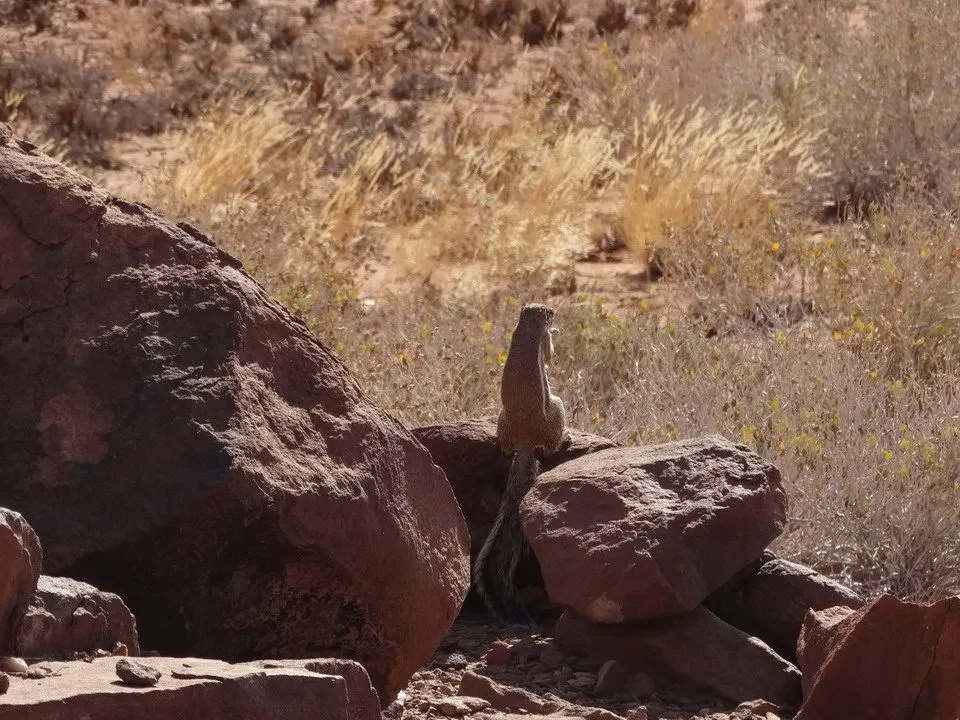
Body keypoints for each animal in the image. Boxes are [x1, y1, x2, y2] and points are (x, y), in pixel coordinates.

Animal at [473, 303, 566, 624]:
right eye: (547, 311)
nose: (554, 312)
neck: (526, 325)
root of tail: (524, 441)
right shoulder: (543, 338)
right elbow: (549, 354)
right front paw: (556, 333)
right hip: (557, 409)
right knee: (550, 446)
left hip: (501, 420)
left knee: (504, 446)